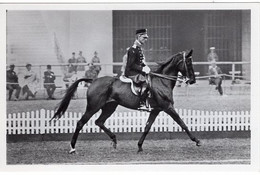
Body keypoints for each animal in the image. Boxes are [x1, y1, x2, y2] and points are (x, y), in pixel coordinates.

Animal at [50, 49, 201, 153]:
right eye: (188, 62)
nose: (193, 80)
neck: (162, 81)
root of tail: (93, 80)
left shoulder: (156, 110)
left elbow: (147, 127)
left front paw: (139, 146)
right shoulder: (168, 107)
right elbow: (182, 123)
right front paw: (197, 140)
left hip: (109, 107)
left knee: (99, 122)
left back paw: (114, 140)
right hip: (93, 107)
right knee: (81, 123)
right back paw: (72, 148)